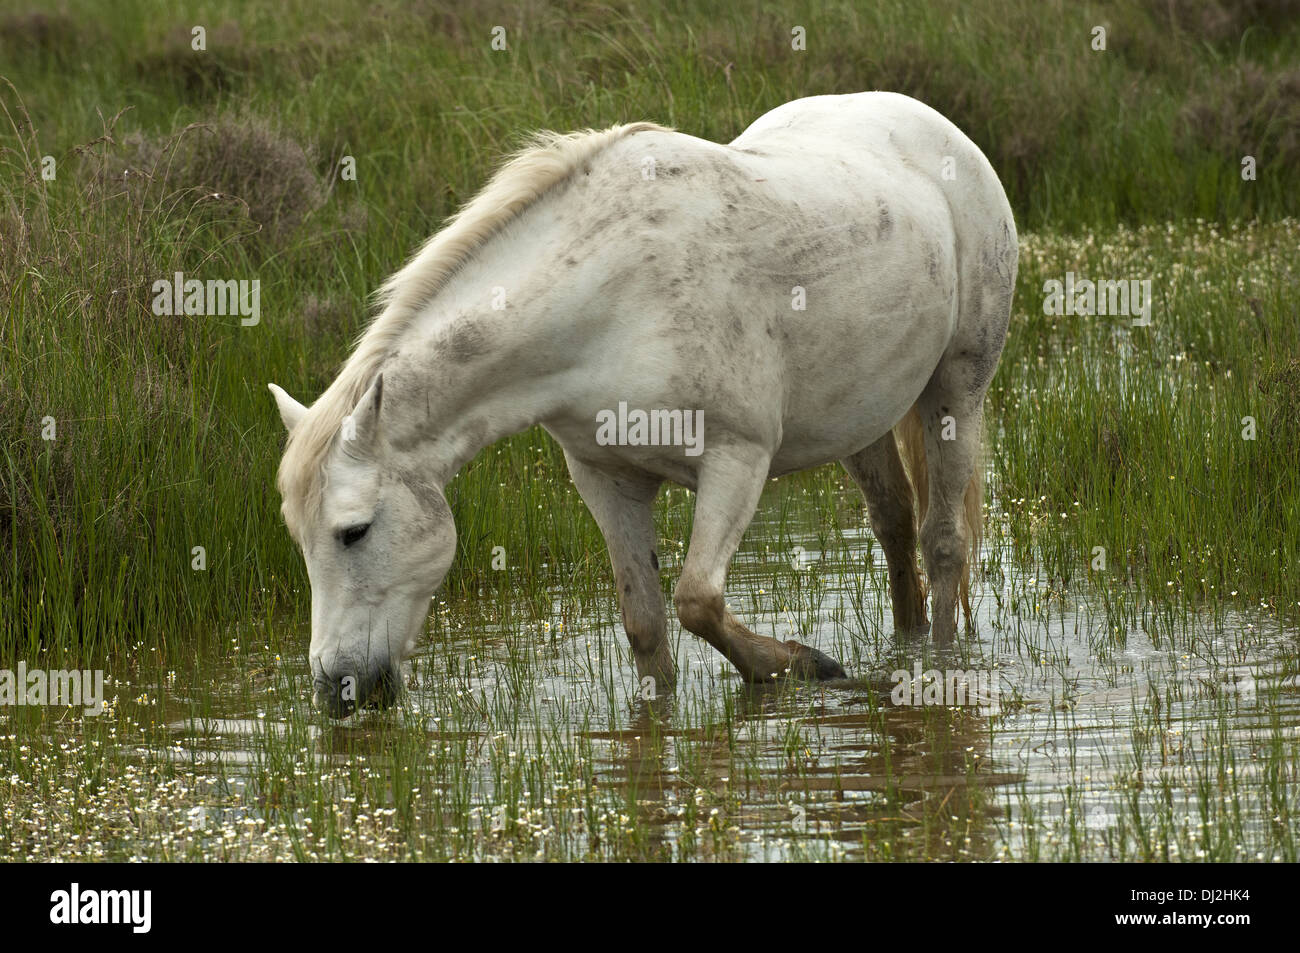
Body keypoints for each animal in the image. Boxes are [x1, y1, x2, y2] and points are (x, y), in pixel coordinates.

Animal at [271, 92, 1013, 712]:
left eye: (354, 530)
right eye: (298, 539)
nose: (337, 688)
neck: (614, 300)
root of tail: (936, 127)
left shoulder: (737, 460)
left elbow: (697, 602)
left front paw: (800, 664)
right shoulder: (608, 478)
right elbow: (647, 627)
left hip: (957, 390)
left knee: (942, 543)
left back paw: (937, 664)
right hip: (862, 417)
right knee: (893, 528)